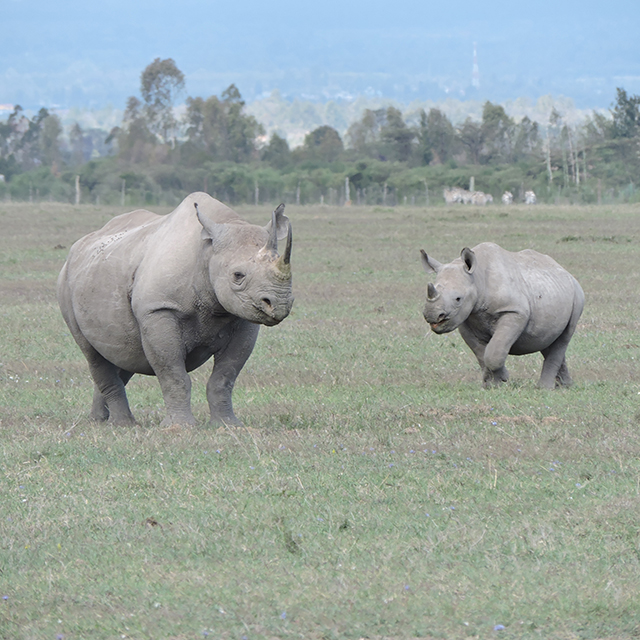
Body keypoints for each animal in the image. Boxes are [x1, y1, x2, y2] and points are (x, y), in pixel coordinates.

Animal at [57, 192, 293, 427]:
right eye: (238, 275)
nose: (280, 303)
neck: (206, 254)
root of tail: (76, 250)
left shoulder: (242, 317)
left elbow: (225, 377)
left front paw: (228, 425)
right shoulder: (159, 309)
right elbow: (173, 375)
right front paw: (180, 428)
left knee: (123, 354)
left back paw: (99, 421)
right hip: (65, 284)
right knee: (93, 354)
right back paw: (124, 424)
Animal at [420, 242, 584, 389]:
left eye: (458, 299)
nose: (432, 316)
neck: (477, 278)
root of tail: (565, 271)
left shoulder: (514, 311)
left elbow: (494, 351)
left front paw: (503, 378)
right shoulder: (466, 318)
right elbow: (480, 352)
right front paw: (491, 384)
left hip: (577, 294)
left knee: (564, 336)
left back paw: (544, 388)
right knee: (547, 339)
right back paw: (565, 386)